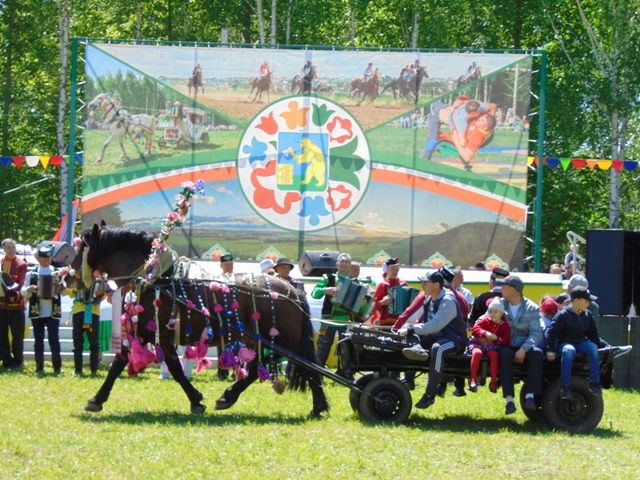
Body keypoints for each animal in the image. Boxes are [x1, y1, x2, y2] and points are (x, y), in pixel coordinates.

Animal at [76, 224, 330, 416]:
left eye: (81, 248)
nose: (72, 277)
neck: (155, 279)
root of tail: (292, 290)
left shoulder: (154, 333)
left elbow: (128, 365)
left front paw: (96, 400)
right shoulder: (158, 335)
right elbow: (168, 367)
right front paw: (196, 399)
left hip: (282, 339)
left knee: (298, 365)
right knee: (269, 365)